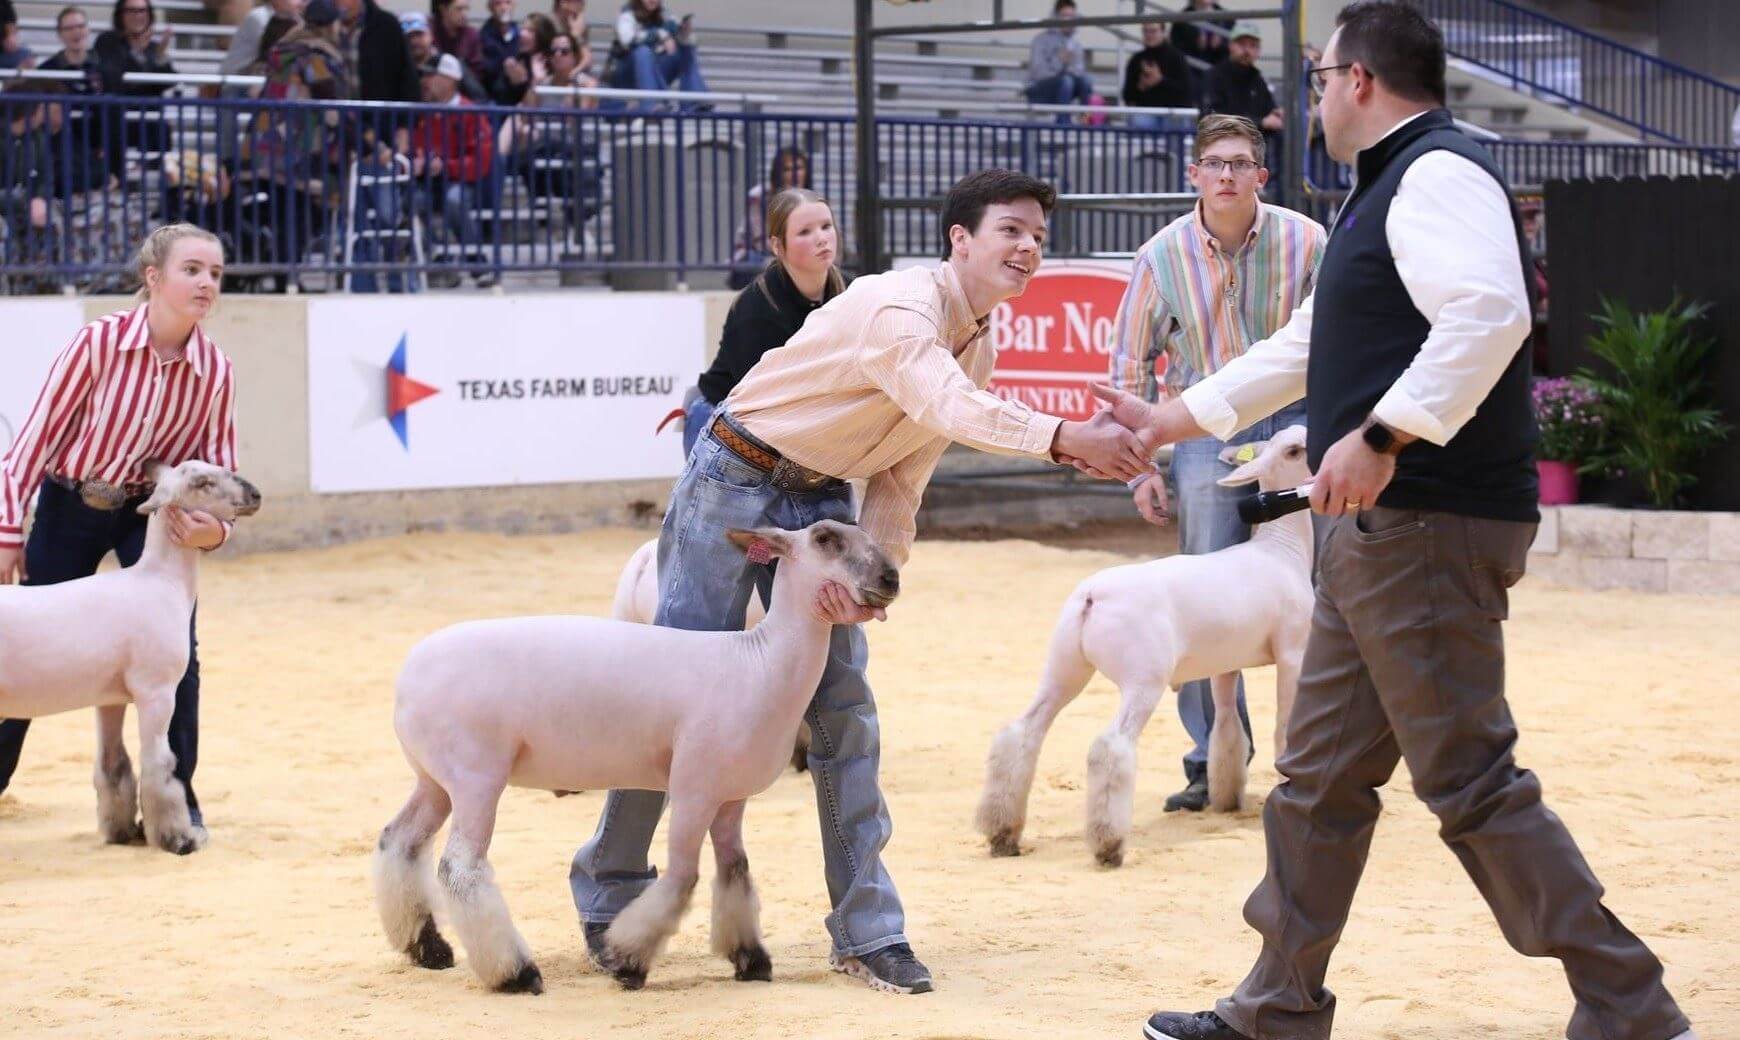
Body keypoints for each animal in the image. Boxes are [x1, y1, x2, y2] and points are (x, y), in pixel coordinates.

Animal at [0, 460, 263, 855]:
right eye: (203, 482)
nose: (255, 495)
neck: (160, 580)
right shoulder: (157, 691)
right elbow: (160, 767)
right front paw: (178, 838)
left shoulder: (110, 698)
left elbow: (114, 763)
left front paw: (120, 832)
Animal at [373, 519, 901, 995]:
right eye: (826, 539)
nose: (891, 578)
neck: (761, 661)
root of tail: (405, 678)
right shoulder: (692, 786)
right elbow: (682, 877)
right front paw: (626, 961)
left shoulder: (731, 797)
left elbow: (735, 871)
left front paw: (750, 959)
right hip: (476, 774)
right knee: (460, 869)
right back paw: (514, 974)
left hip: (435, 779)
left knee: (399, 841)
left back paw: (426, 947)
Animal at [974, 426, 1314, 867]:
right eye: (1293, 450)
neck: (1281, 548)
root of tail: (1091, 596)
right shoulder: (1293, 651)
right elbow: (1284, 725)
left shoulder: (1225, 665)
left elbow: (1227, 726)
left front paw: (1226, 799)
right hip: (1144, 678)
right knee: (1110, 747)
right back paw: (1108, 845)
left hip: (1064, 667)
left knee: (1023, 731)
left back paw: (1002, 834)